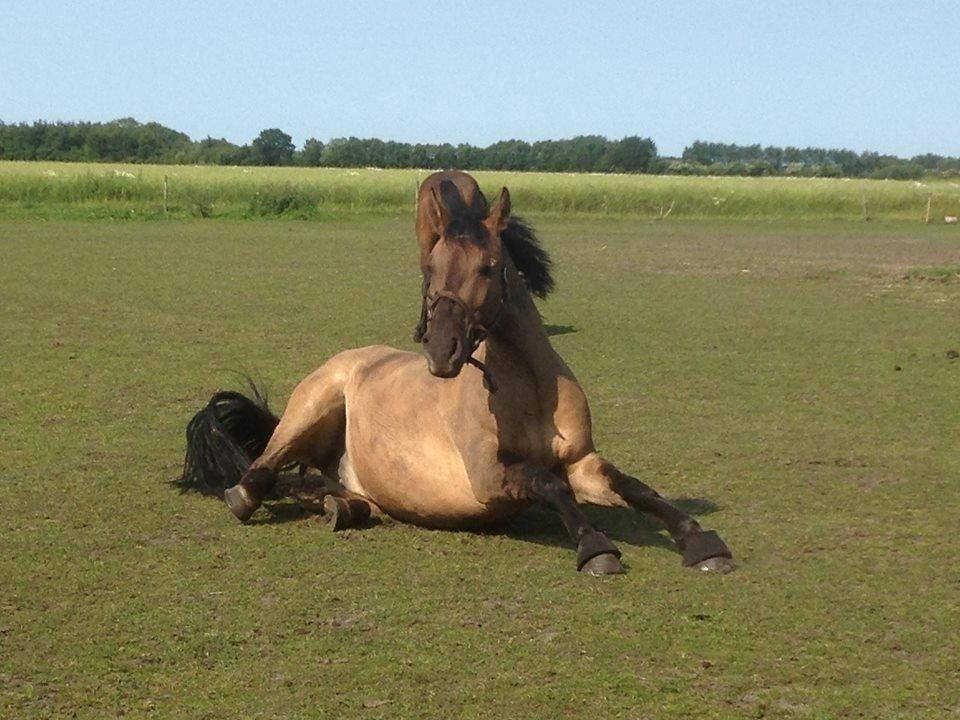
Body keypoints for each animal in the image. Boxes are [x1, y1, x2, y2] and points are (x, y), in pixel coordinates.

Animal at [180, 172, 732, 576]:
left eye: (488, 266)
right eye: (432, 268)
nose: (441, 352)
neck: (531, 387)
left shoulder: (581, 461)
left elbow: (636, 487)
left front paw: (701, 541)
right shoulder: (488, 476)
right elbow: (549, 485)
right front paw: (596, 547)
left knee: (315, 484)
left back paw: (341, 507)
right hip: (312, 410)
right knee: (262, 475)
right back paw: (256, 495)